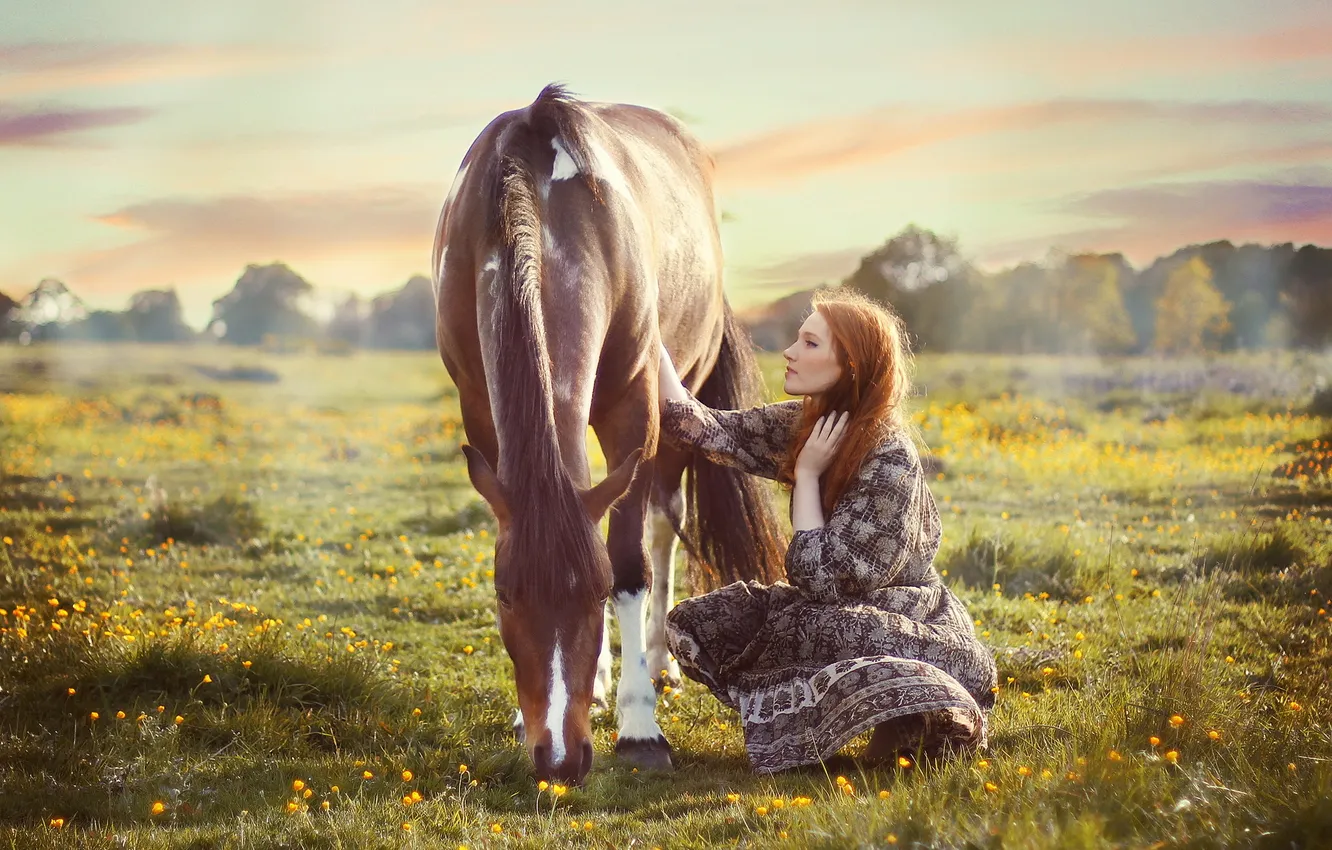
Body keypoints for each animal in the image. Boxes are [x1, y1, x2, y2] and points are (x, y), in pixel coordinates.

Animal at [431, 84, 786, 784]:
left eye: (593, 593)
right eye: (505, 594)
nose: (559, 759)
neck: (537, 203)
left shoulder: (634, 410)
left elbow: (628, 564)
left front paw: (640, 727)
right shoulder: (480, 411)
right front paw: (541, 710)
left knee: (661, 524)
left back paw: (657, 664)